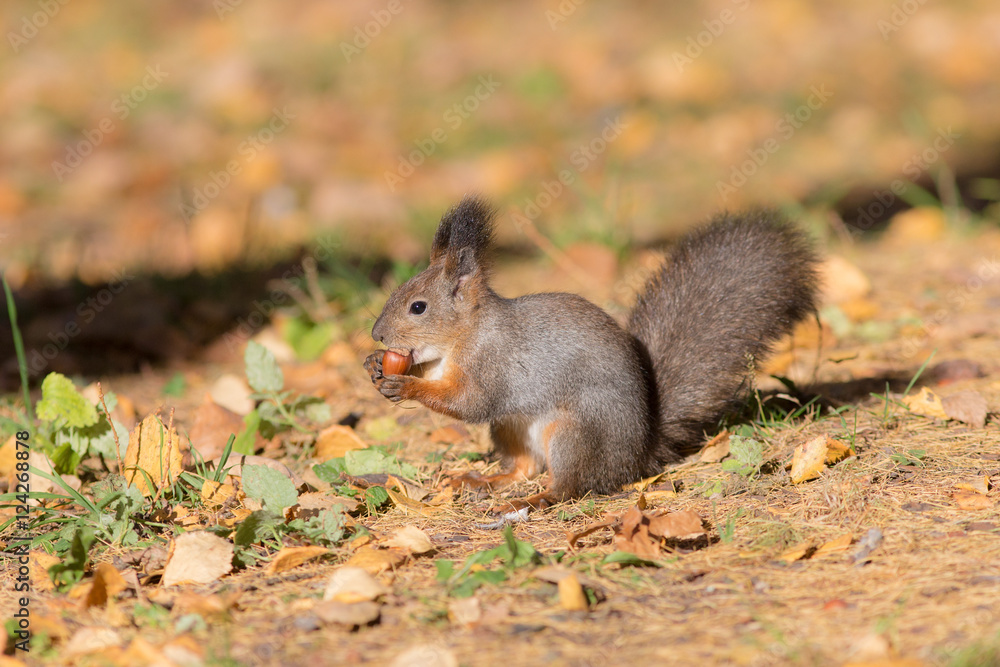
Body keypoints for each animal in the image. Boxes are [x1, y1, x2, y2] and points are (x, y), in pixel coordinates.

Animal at [364, 197, 816, 506]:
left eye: (418, 307)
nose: (377, 335)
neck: (462, 338)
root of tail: (637, 456)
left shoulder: (493, 362)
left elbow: (470, 402)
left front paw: (405, 385)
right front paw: (377, 367)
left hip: (575, 433)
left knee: (572, 486)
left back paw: (534, 500)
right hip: (510, 429)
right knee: (525, 467)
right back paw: (482, 481)